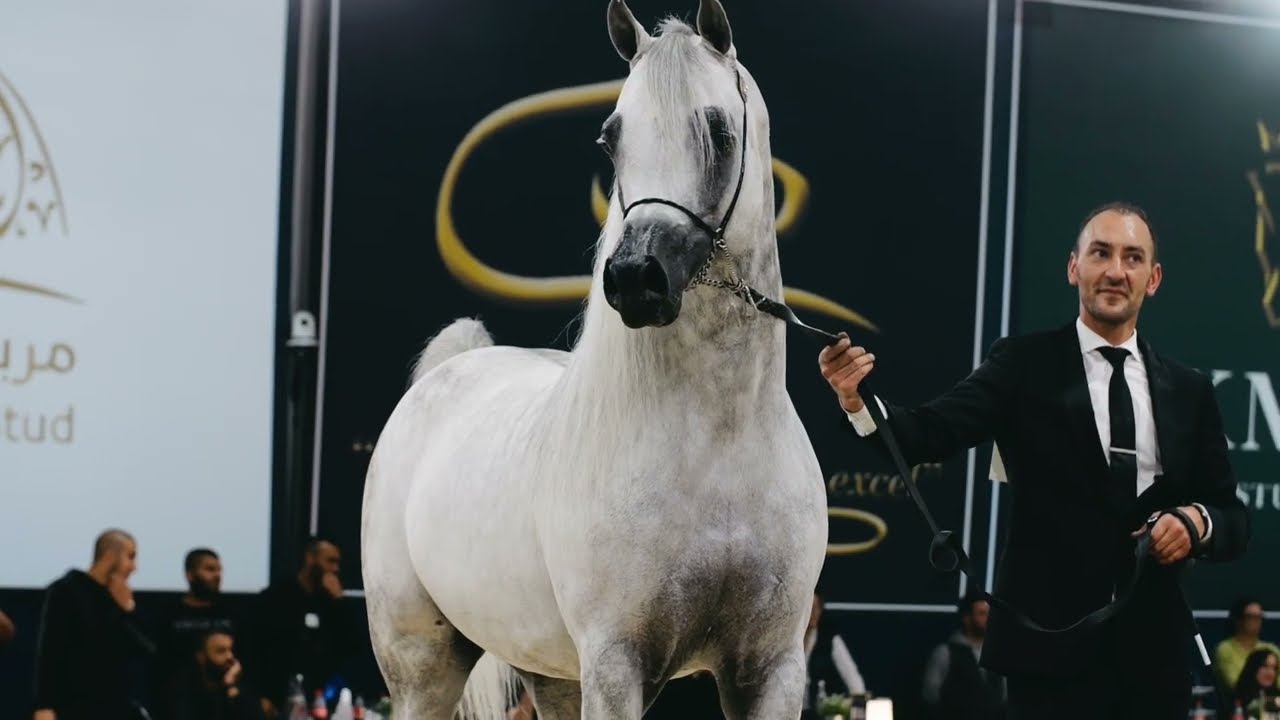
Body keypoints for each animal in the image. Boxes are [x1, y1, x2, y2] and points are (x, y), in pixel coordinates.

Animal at [360, 1, 828, 717]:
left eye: (719, 132)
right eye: (611, 139)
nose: (636, 278)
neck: (720, 447)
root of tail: (447, 372)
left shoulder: (769, 669)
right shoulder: (616, 666)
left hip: (551, 673)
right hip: (422, 667)